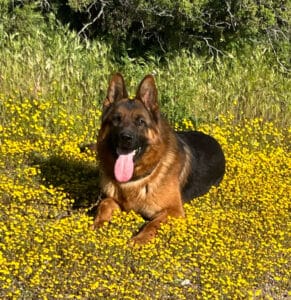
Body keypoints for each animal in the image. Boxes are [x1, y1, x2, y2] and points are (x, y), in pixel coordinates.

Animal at [93, 74, 226, 245]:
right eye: (116, 119)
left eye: (140, 122)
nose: (126, 138)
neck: (135, 180)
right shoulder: (115, 201)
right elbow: (104, 204)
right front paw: (98, 224)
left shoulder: (174, 211)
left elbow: (153, 223)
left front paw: (140, 239)